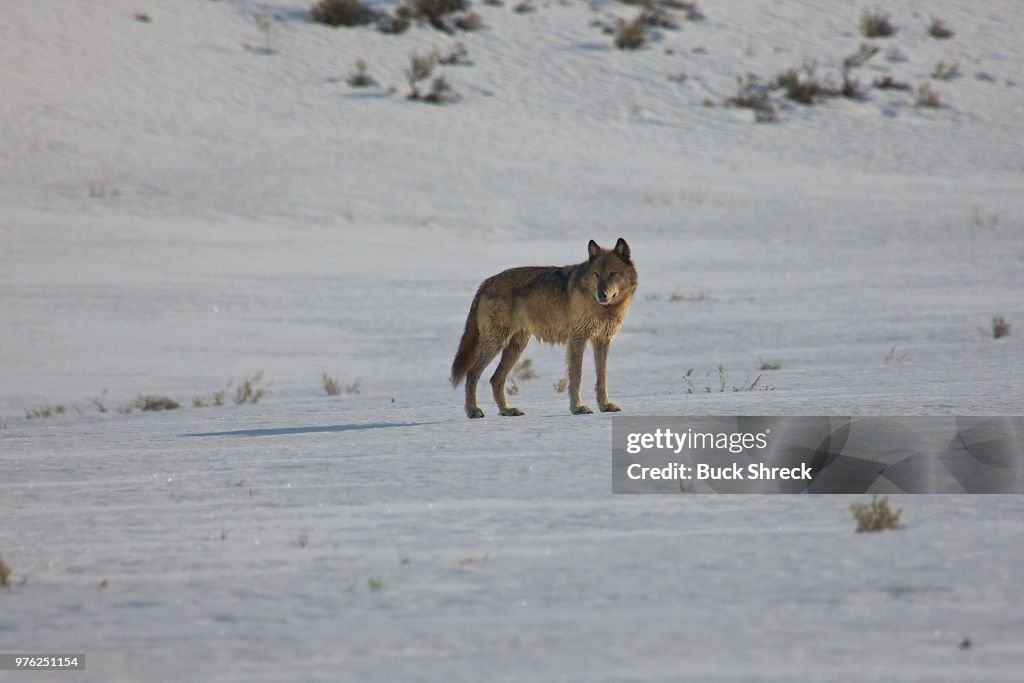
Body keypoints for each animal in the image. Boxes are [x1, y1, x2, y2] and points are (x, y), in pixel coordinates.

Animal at [450, 237, 634, 419]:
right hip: (496, 344)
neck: (604, 308)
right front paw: (577, 407)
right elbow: (577, 376)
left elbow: (602, 377)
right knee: (472, 373)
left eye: (613, 273)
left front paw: (605, 406)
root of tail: (486, 282)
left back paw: (507, 410)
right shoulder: (578, 339)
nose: (601, 295)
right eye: (596, 274)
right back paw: (473, 410)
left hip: (516, 347)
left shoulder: (603, 341)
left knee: (496, 379)